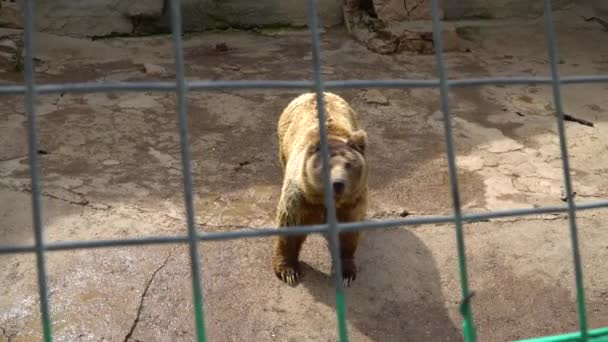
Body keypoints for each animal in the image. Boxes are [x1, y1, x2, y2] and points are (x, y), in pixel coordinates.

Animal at [272, 91, 368, 286]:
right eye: (326, 166)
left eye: (348, 164)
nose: (338, 183)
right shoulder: (300, 197)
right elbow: (290, 225)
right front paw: (288, 271)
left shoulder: (352, 201)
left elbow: (347, 234)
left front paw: (346, 272)